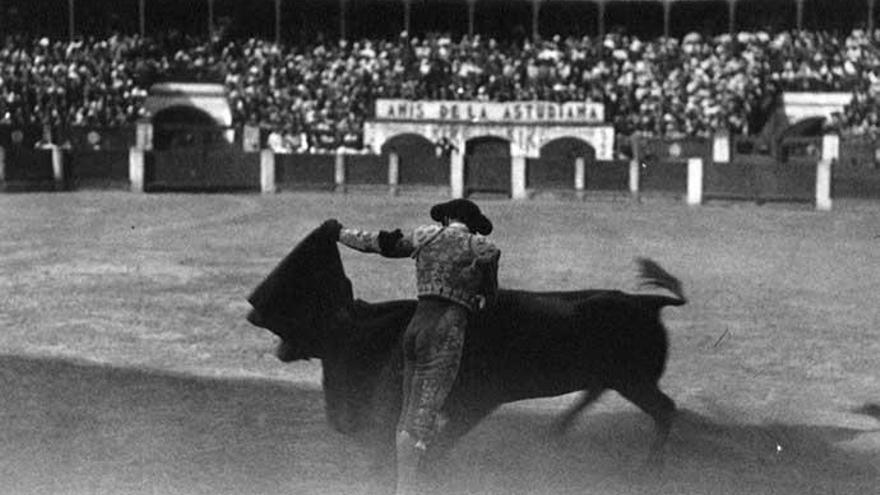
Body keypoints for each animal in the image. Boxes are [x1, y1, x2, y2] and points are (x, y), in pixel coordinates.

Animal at [248, 223, 688, 494]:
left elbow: (432, 439)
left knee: (664, 409)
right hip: (621, 379)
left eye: (313, 311)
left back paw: (648, 467)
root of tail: (649, 303)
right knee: (602, 395)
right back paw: (558, 431)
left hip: (634, 380)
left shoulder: (472, 403)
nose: (260, 321)